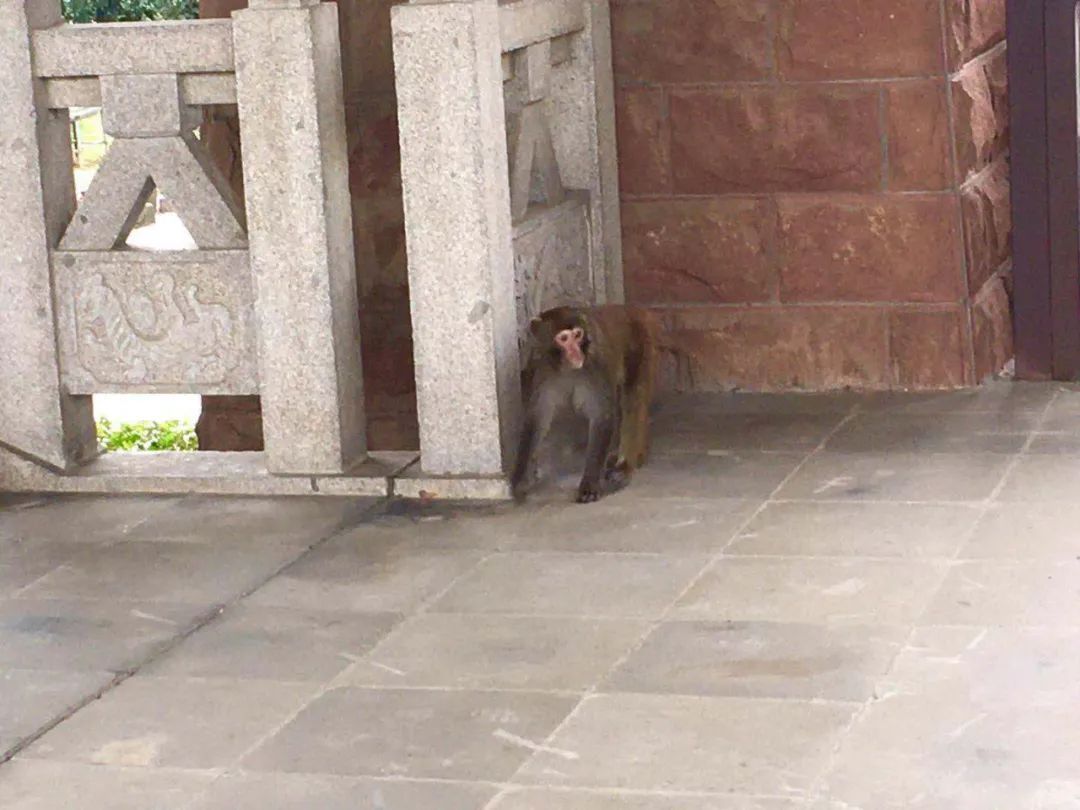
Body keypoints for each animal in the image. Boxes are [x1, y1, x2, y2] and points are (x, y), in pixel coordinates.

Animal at [511, 306, 656, 505]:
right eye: (564, 338)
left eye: (578, 335)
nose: (576, 352)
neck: (566, 368)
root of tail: (629, 310)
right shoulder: (540, 368)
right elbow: (537, 417)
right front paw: (521, 477)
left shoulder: (596, 366)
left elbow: (602, 416)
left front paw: (590, 484)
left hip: (640, 344)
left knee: (632, 397)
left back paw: (625, 464)